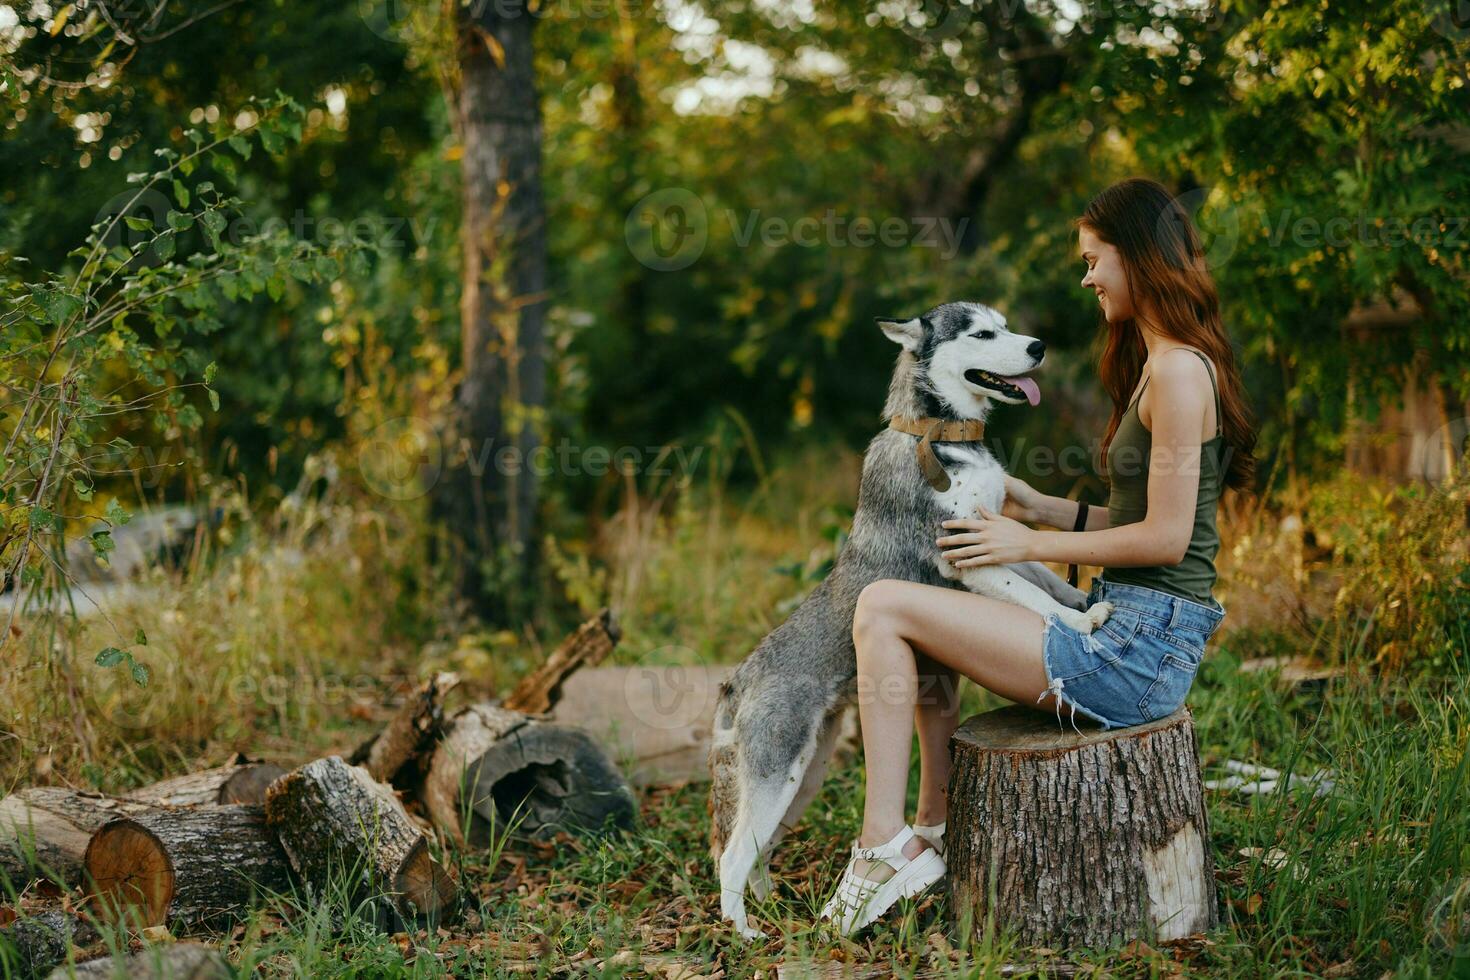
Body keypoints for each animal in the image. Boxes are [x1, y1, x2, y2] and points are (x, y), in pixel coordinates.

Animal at [711, 301, 1111, 940]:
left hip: (801, 778)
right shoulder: (966, 559)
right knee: (730, 857)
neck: (940, 435)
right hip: (776, 774)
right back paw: (746, 934)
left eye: (1007, 324)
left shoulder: (996, 538)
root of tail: (739, 677)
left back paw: (770, 910)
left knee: (757, 853)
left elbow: (1046, 579)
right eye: (982, 333)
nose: (1039, 347)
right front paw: (1078, 628)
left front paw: (1084, 601)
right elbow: (1036, 598)